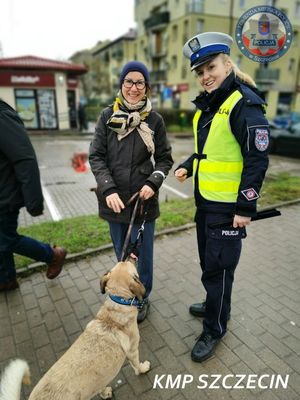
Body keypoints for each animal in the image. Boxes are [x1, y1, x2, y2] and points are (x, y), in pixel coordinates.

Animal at [0, 260, 150, 398]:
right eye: (132, 269)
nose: (132, 257)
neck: (117, 305)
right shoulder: (133, 351)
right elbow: (137, 366)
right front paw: (143, 368)